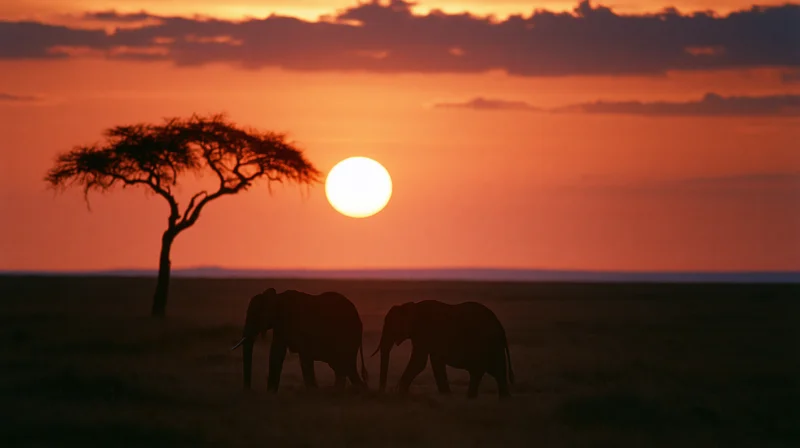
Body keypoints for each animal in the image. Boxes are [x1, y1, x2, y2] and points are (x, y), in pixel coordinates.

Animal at [231, 288, 368, 392]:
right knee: (344, 367)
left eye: (255, 316)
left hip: (347, 336)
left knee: (344, 365)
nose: (248, 390)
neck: (277, 298)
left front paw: (313, 391)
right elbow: (277, 352)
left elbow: (299, 356)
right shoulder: (280, 325)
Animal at [372, 300, 514, 399]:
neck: (411, 306)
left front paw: (400, 392)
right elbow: (435, 362)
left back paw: (471, 398)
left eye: (391, 327)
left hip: (485, 343)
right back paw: (503, 400)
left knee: (480, 371)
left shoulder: (424, 332)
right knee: (497, 371)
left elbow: (419, 362)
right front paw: (446, 395)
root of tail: (500, 327)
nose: (382, 392)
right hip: (493, 345)